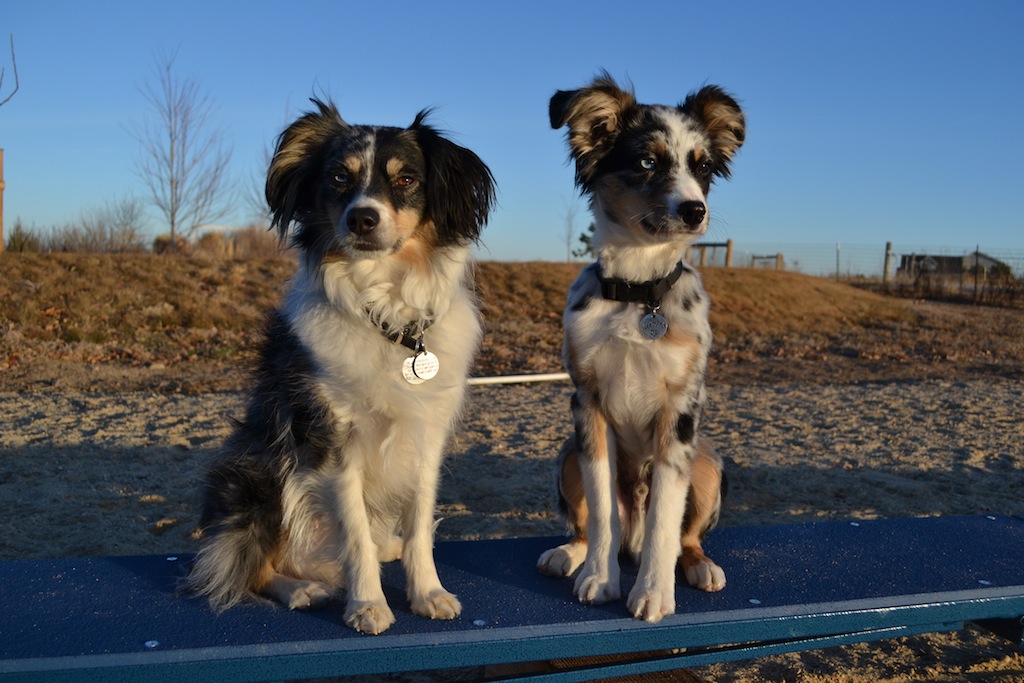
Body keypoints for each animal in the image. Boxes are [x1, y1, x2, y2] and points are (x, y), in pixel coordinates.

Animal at [187, 99, 496, 635]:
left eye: (406, 179)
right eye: (337, 177)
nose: (362, 219)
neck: (388, 314)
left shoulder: (427, 435)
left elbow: (420, 525)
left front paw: (427, 591)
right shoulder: (334, 440)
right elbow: (353, 532)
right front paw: (367, 603)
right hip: (261, 470)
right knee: (243, 563)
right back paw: (299, 587)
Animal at [537, 74, 745, 622]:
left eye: (703, 167)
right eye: (648, 162)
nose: (695, 211)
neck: (638, 291)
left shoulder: (679, 411)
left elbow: (665, 520)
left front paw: (653, 592)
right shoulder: (587, 405)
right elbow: (602, 510)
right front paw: (600, 579)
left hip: (707, 462)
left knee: (684, 536)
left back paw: (699, 566)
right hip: (568, 455)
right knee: (594, 524)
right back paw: (570, 554)